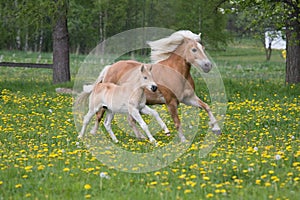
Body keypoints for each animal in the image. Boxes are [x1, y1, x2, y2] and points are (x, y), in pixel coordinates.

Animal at [91, 29, 220, 142]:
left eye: (203, 48)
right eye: (193, 49)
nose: (208, 65)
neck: (176, 72)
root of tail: (109, 68)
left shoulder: (188, 98)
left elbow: (206, 107)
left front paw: (216, 129)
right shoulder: (171, 102)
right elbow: (177, 121)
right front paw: (183, 140)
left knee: (130, 120)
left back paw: (141, 137)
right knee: (99, 116)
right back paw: (94, 135)